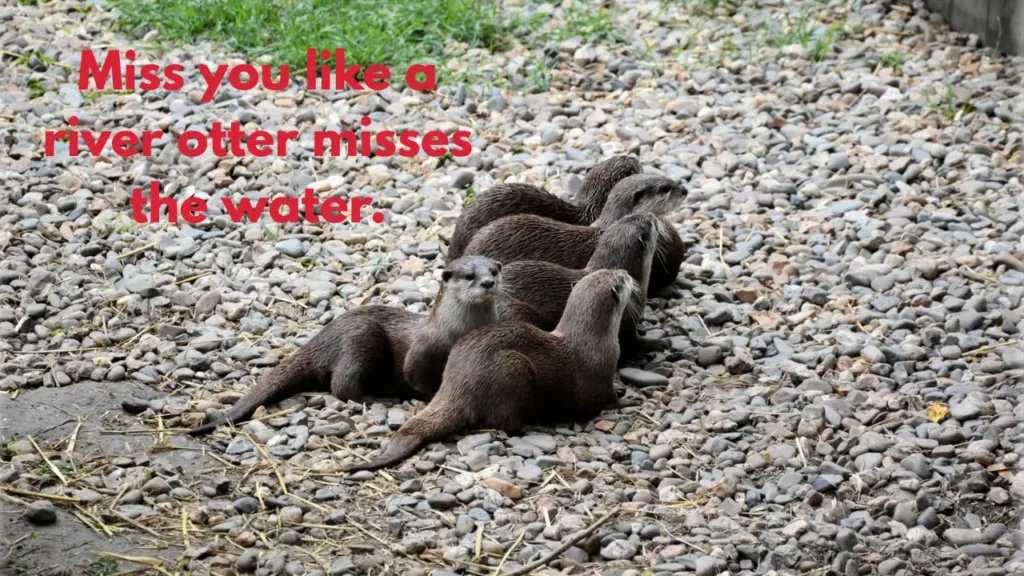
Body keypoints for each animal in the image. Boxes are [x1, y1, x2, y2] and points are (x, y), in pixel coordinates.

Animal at [188, 256, 502, 436]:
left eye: (493, 271)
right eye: (469, 276)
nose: (487, 282)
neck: (456, 330)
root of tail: (320, 339)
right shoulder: (423, 350)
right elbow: (416, 377)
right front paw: (427, 396)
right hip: (361, 336)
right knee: (342, 385)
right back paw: (377, 400)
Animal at [344, 269, 636, 472]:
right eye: (622, 278)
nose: (627, 272)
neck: (592, 339)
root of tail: (456, 384)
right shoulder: (602, 374)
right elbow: (610, 399)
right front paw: (629, 399)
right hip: (513, 369)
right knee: (503, 423)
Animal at [497, 213, 664, 359]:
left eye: (628, 216)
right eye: (650, 223)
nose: (652, 215)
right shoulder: (628, 322)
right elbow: (634, 344)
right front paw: (656, 343)